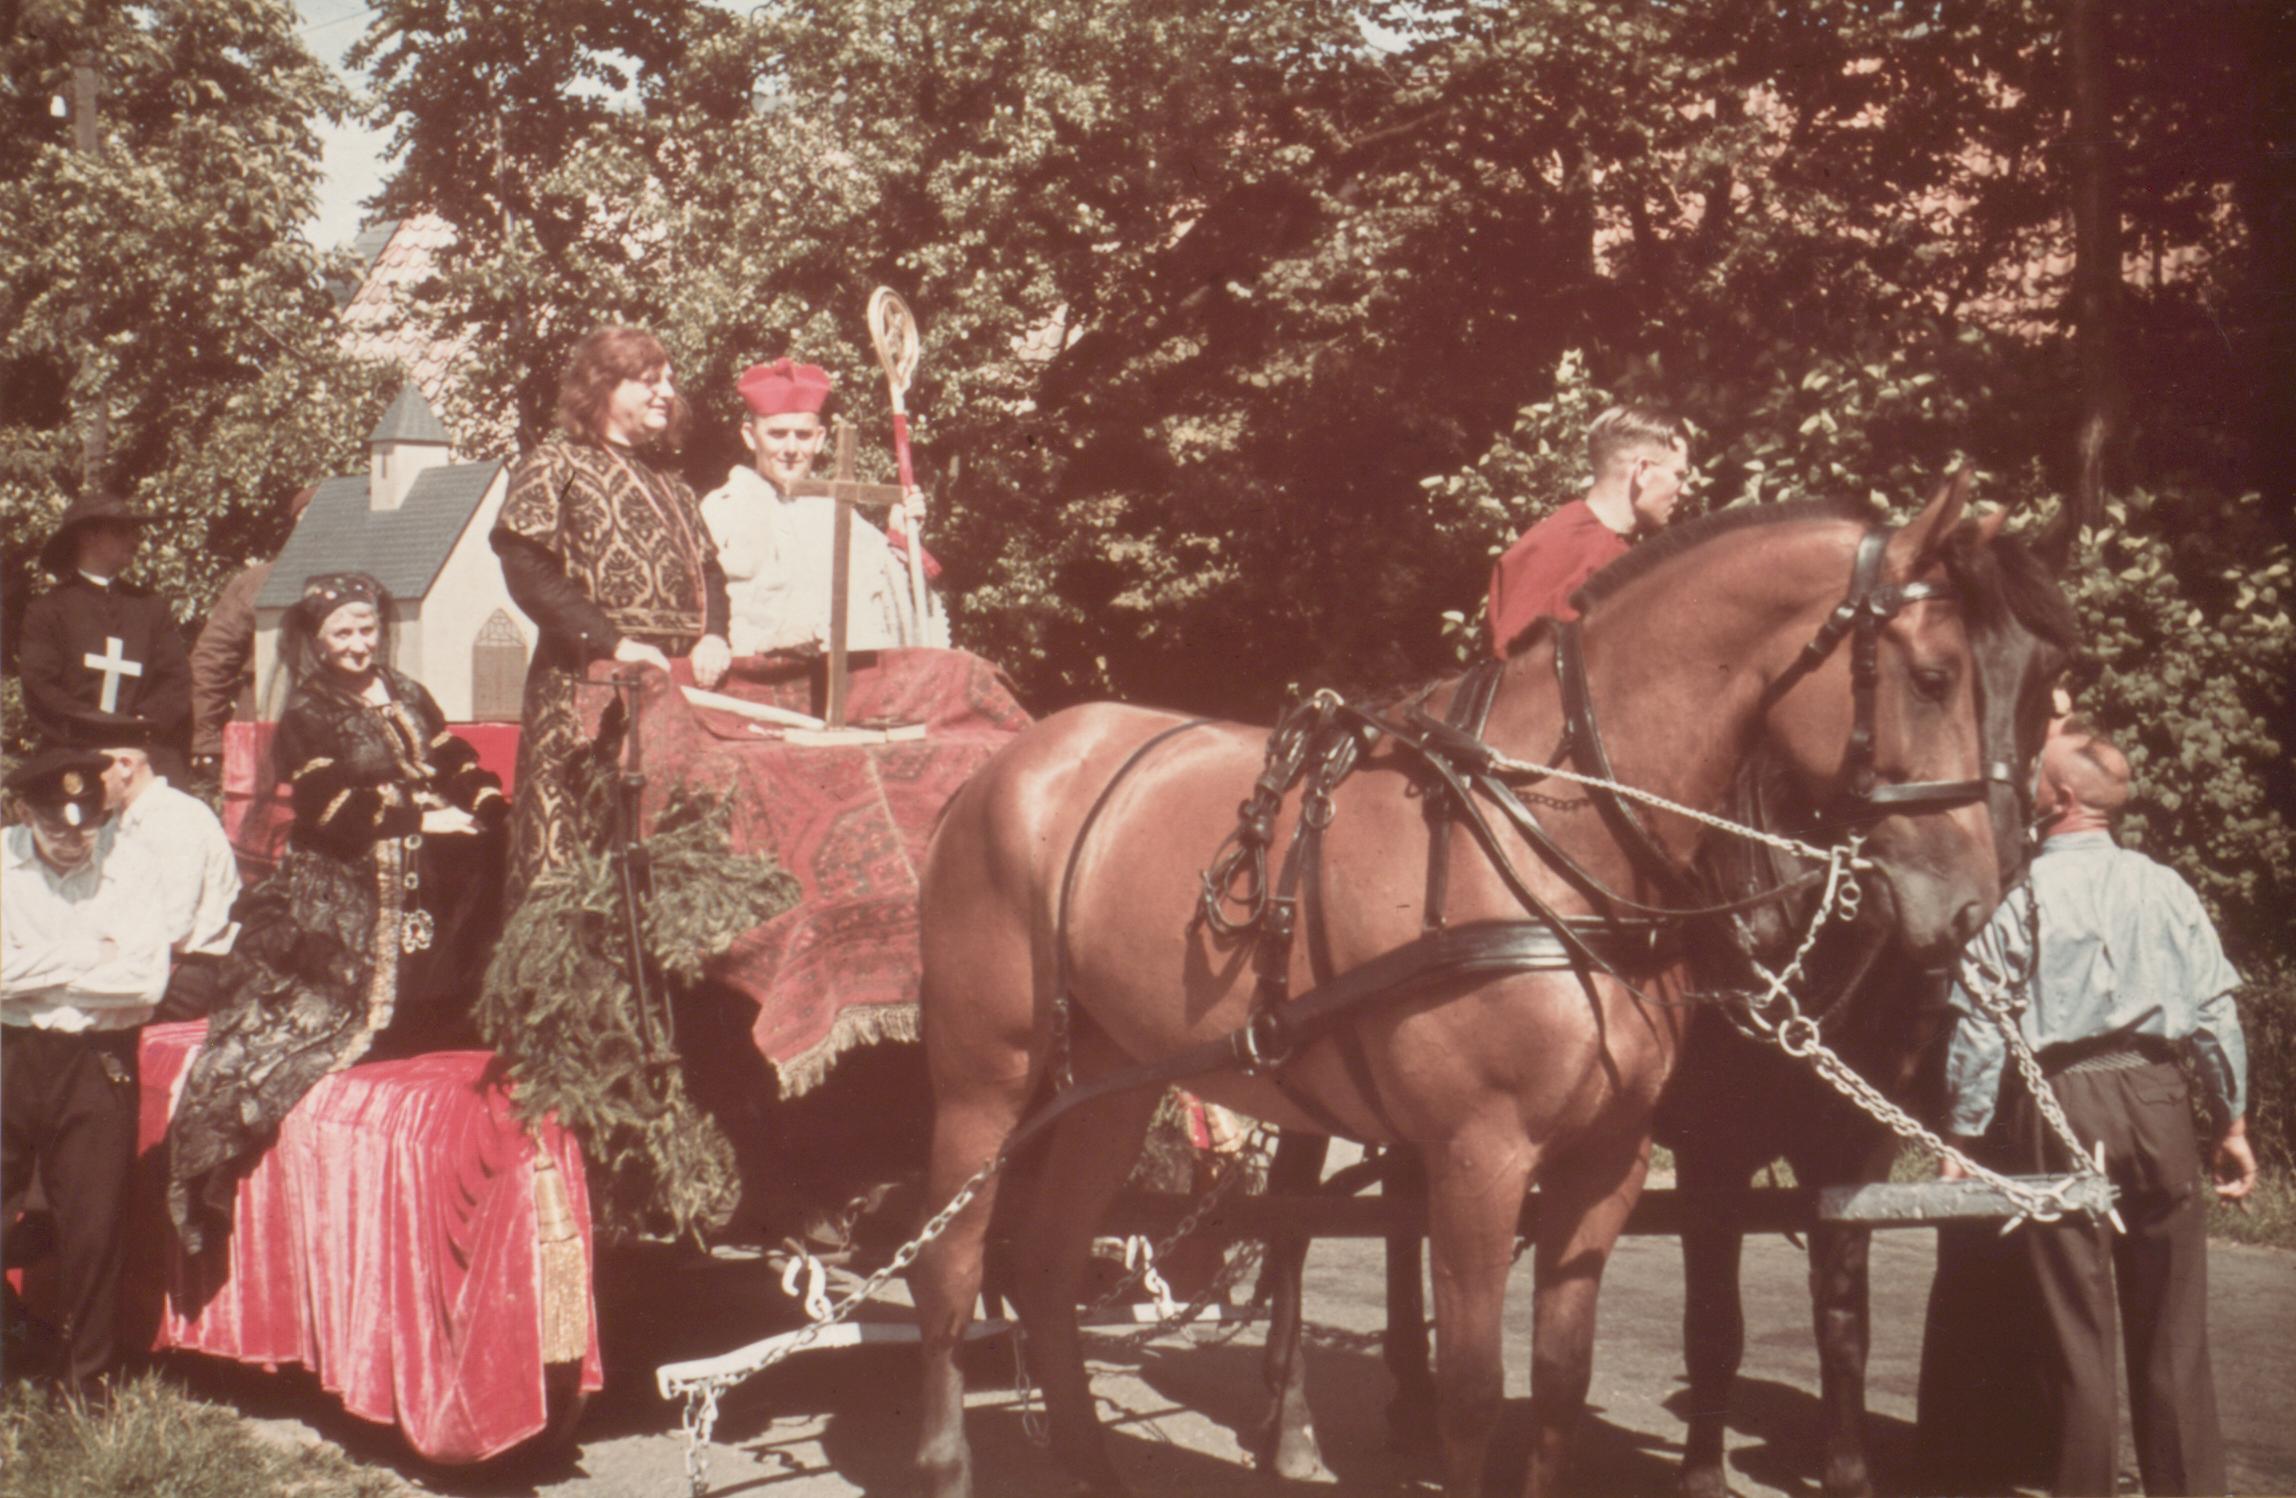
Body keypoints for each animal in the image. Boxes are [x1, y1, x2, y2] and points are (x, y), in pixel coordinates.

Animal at [910, 480, 2006, 1498]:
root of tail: (1004, 766)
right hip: (981, 1081)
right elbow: (1473, 1391)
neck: (1549, 830)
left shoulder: (1605, 1164)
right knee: (950, 1272)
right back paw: (944, 1459)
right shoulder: (1479, 1157)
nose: (1969, 906)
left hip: (1113, 1085)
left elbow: (1559, 1379)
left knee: (1045, 1269)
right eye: (1933, 677)